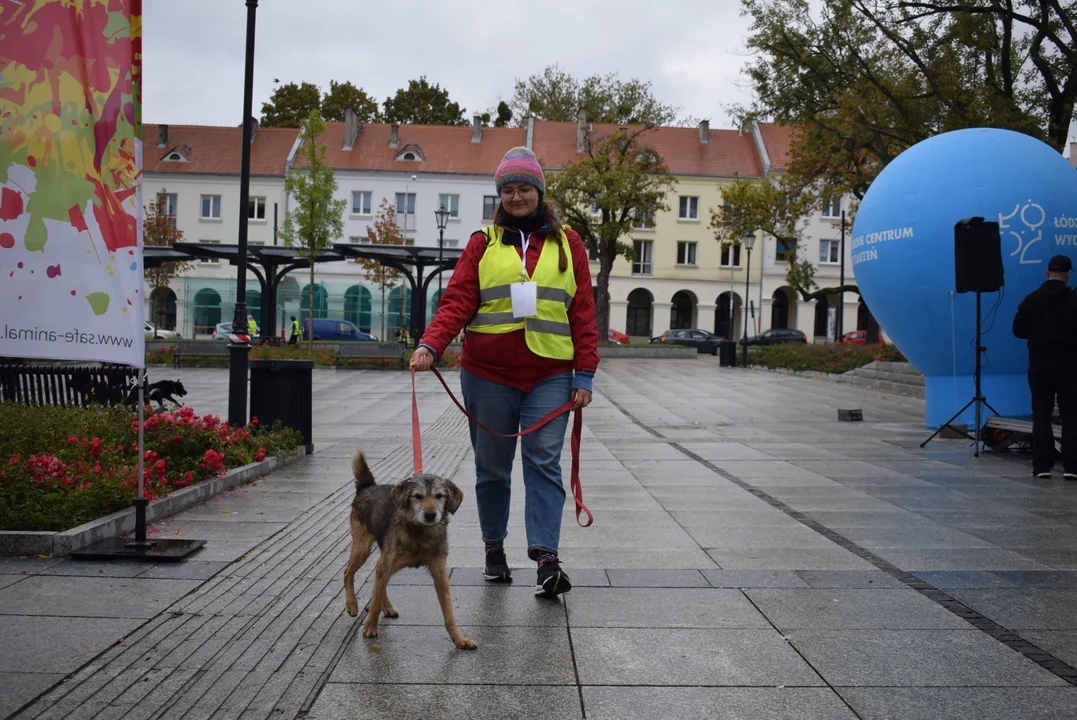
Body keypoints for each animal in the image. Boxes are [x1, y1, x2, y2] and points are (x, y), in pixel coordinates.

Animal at [342, 449, 473, 645]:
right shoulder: (386, 563)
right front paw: (370, 627)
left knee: (378, 581)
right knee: (348, 572)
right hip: (362, 547)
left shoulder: (440, 572)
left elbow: (449, 612)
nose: (430, 515)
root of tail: (366, 486)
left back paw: (387, 607)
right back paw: (352, 605)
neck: (420, 532)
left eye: (439, 496)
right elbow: (374, 602)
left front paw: (459, 639)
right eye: (417, 496)